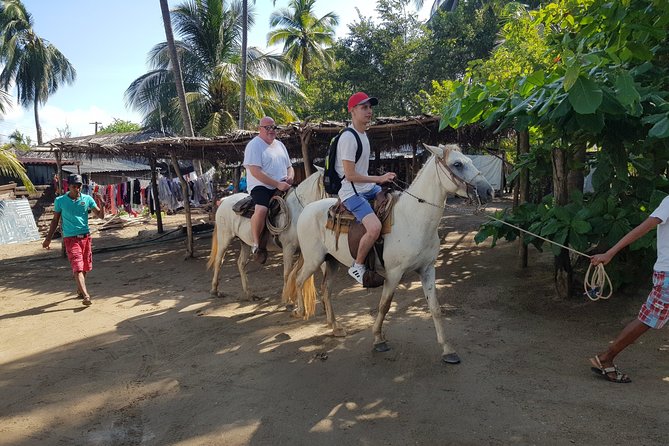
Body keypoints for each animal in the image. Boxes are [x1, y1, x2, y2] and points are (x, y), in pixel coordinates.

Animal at [206, 169, 326, 302]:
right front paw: (287, 300)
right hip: (224, 238)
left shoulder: (307, 250)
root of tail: (224, 201)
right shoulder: (288, 248)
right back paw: (214, 290)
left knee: (240, 263)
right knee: (219, 261)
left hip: (245, 242)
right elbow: (287, 273)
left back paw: (249, 294)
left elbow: (299, 273)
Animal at [284, 145, 494, 364]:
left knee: (326, 290)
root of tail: (307, 209)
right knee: (298, 280)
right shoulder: (394, 274)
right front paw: (378, 339)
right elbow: (384, 306)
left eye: (469, 160)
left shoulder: (427, 270)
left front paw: (447, 349)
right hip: (313, 260)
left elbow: (435, 308)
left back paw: (335, 327)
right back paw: (300, 311)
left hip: (331, 262)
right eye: (457, 164)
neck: (413, 218)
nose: (489, 191)